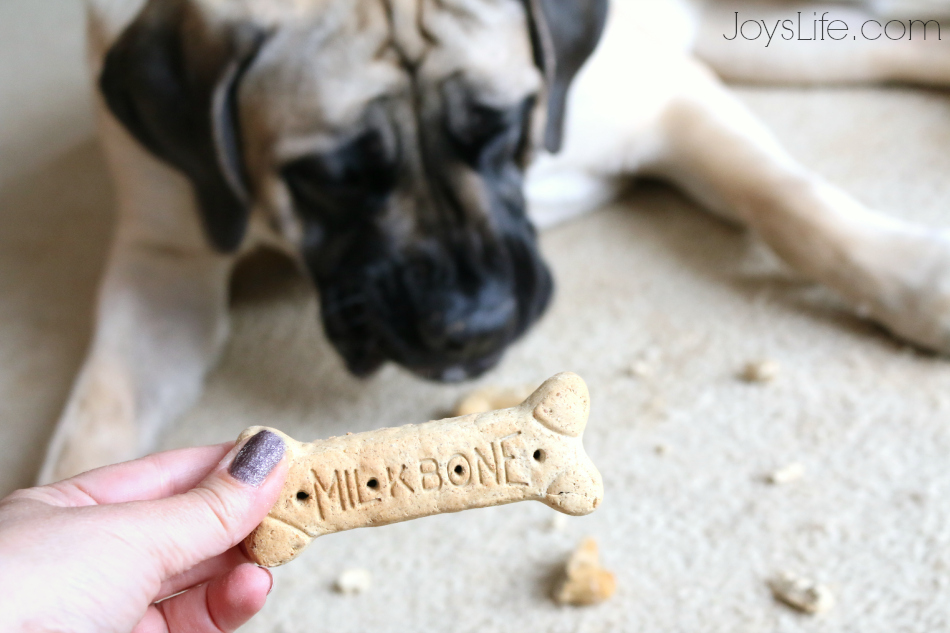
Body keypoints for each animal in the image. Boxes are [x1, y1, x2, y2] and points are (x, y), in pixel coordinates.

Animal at [41, 0, 950, 482]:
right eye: (333, 176)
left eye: (502, 124)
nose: (470, 324)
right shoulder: (164, 260)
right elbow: (99, 419)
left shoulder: (666, 103)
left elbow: (789, 201)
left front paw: (918, 281)